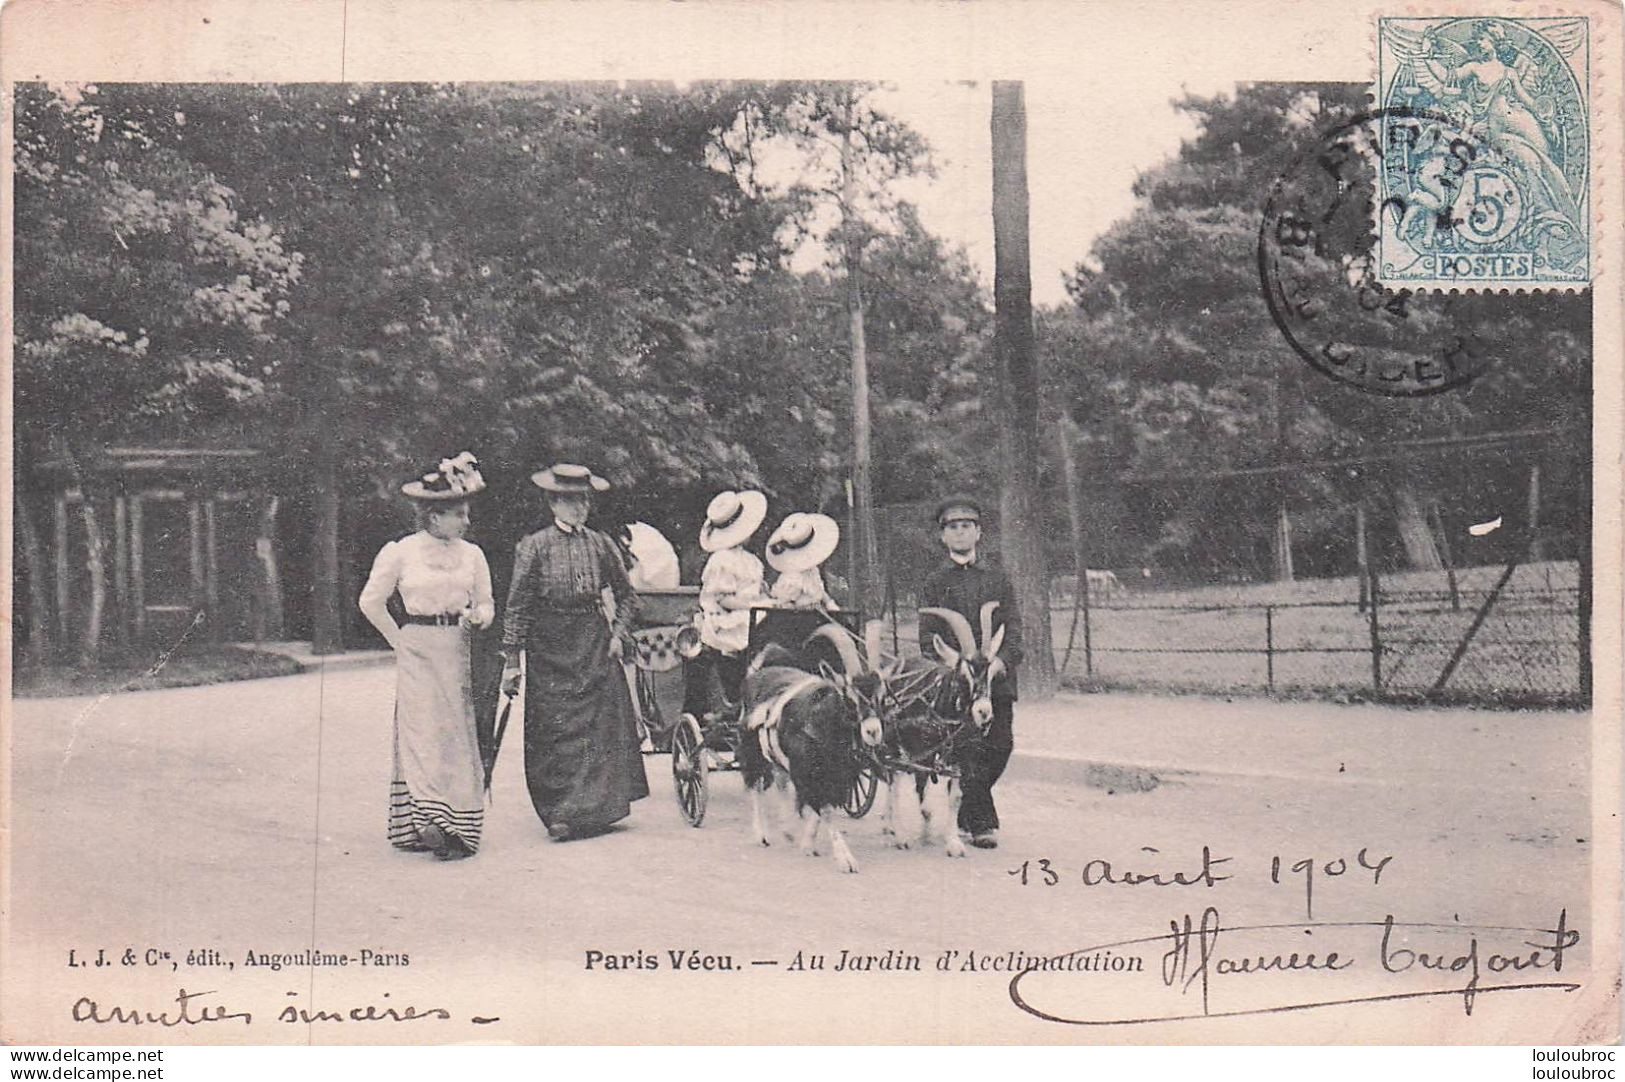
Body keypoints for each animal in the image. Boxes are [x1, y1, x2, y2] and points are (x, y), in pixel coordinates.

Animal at [741, 633, 890, 870]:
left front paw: (807, 844)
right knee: (755, 786)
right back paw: (761, 835)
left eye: (882, 697)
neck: (819, 720)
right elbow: (825, 810)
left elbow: (819, 810)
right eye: (849, 698)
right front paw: (845, 859)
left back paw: (788, 830)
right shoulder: (809, 774)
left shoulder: (838, 778)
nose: (873, 732)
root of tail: (759, 672)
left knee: (781, 781)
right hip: (752, 751)